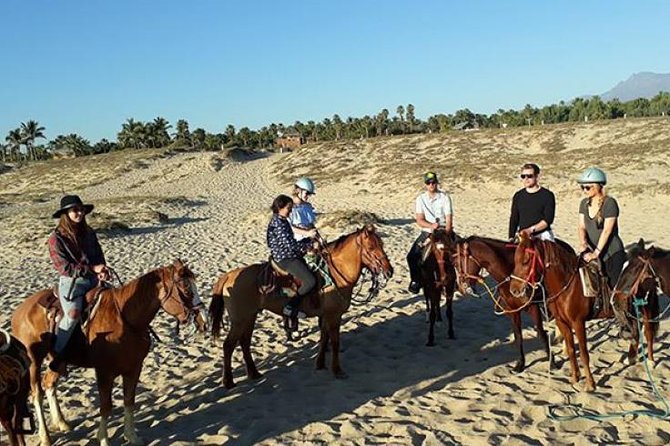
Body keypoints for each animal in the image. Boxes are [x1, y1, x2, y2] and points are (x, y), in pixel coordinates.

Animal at [11, 259, 207, 446]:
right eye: (186, 288)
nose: (203, 319)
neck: (125, 319)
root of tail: (19, 311)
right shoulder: (104, 372)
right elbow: (106, 406)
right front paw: (104, 439)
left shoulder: (134, 368)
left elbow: (129, 401)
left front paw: (132, 436)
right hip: (34, 362)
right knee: (36, 394)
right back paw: (45, 437)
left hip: (57, 361)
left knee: (49, 383)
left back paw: (62, 422)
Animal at [209, 224, 393, 388]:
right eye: (371, 247)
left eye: (382, 244)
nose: (389, 271)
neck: (335, 274)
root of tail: (228, 276)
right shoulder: (334, 315)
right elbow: (334, 342)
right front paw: (337, 370)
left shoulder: (325, 315)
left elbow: (323, 338)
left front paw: (320, 364)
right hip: (240, 319)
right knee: (228, 345)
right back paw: (228, 382)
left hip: (250, 316)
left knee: (245, 342)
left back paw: (254, 373)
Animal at [451, 236, 555, 372]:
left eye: (456, 264)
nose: (460, 288)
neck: (509, 273)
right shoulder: (513, 310)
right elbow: (518, 336)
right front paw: (520, 364)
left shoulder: (533, 307)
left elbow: (541, 333)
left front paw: (552, 362)